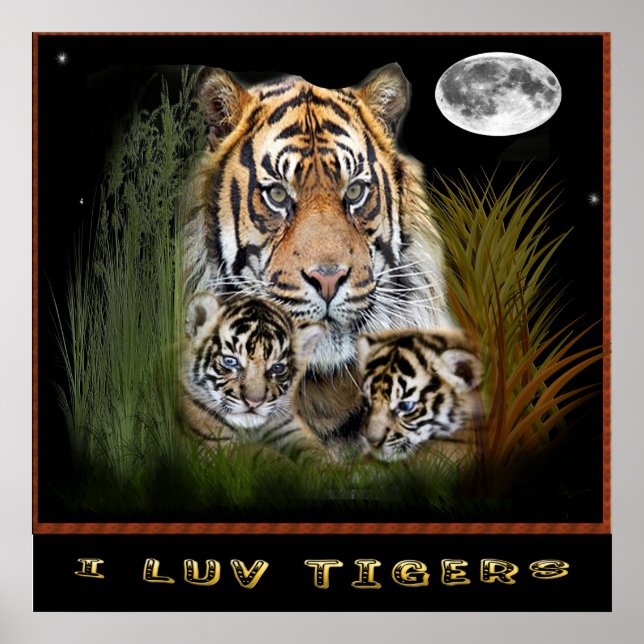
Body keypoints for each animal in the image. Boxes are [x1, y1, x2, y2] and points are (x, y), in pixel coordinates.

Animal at [181, 292, 327, 463]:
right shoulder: (215, 446)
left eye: (277, 368)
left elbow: (318, 452)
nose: (254, 402)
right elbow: (265, 456)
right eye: (230, 361)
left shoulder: (288, 426)